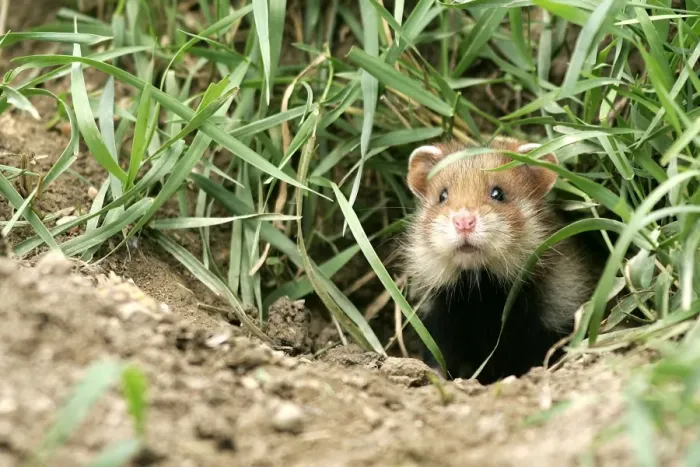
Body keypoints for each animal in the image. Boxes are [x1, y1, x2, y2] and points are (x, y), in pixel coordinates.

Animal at [403, 137, 603, 384]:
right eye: (442, 195)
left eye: (498, 193)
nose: (463, 221)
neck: (483, 299)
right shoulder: (440, 316)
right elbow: (439, 354)